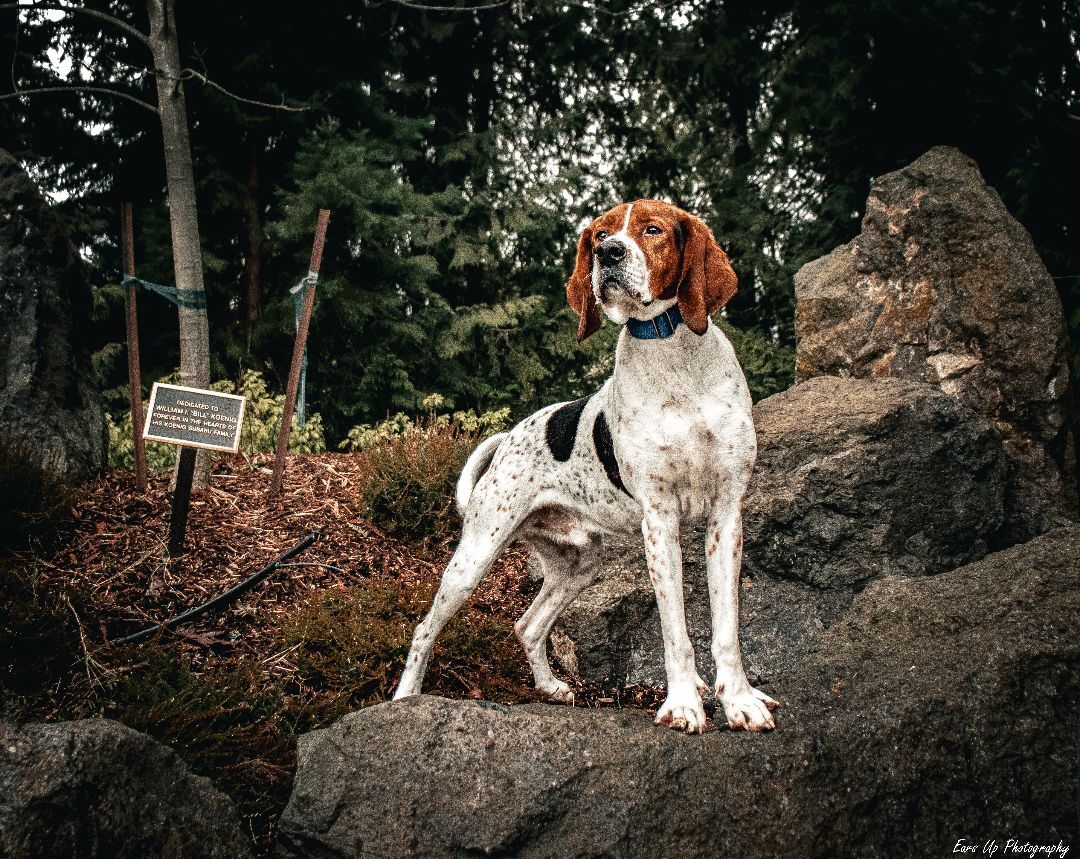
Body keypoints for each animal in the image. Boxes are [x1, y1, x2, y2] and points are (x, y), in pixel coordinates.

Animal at [395, 199, 777, 730]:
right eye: (599, 233)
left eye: (652, 229)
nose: (608, 252)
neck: (675, 358)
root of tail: (511, 436)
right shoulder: (660, 521)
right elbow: (675, 632)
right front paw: (684, 703)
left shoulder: (726, 516)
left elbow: (727, 630)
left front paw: (739, 700)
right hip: (474, 558)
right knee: (424, 629)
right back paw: (404, 697)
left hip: (580, 565)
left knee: (528, 624)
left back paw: (550, 686)